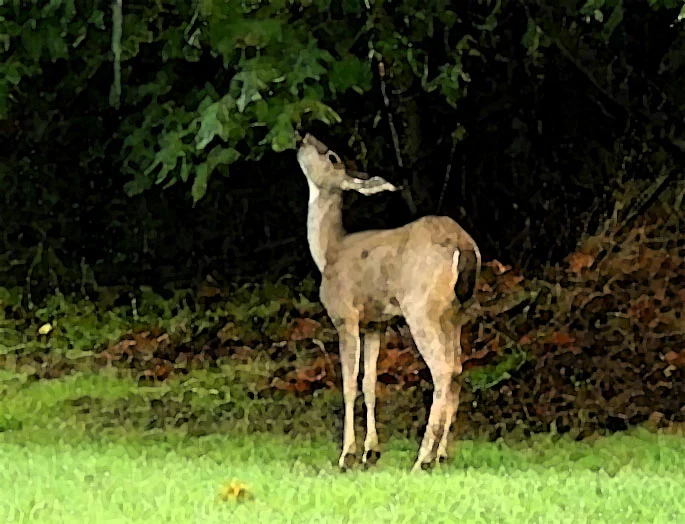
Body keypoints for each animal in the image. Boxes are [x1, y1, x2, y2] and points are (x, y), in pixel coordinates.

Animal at [296, 133, 481, 472]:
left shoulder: (345, 315)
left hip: (421, 308)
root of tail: (463, 246)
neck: (328, 252)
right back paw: (442, 455)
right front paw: (371, 452)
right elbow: (370, 383)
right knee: (458, 368)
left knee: (443, 369)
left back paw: (422, 457)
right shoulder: (375, 324)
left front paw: (347, 455)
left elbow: (348, 384)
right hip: (456, 312)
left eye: (331, 156)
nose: (303, 136)